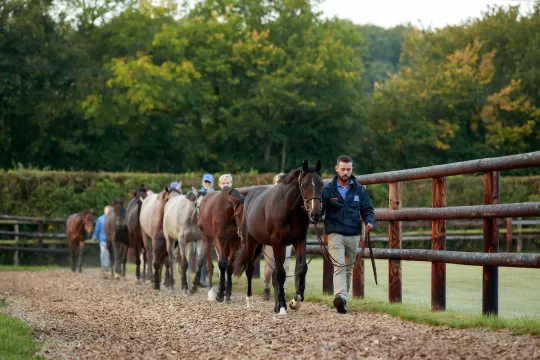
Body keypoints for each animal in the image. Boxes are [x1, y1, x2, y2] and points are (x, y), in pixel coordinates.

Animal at [232, 160, 320, 316]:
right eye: (304, 185)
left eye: (321, 184)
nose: (315, 214)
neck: (288, 209)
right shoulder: (276, 242)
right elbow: (280, 274)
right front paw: (283, 307)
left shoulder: (299, 240)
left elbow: (301, 268)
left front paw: (295, 301)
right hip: (250, 242)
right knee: (250, 270)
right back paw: (250, 301)